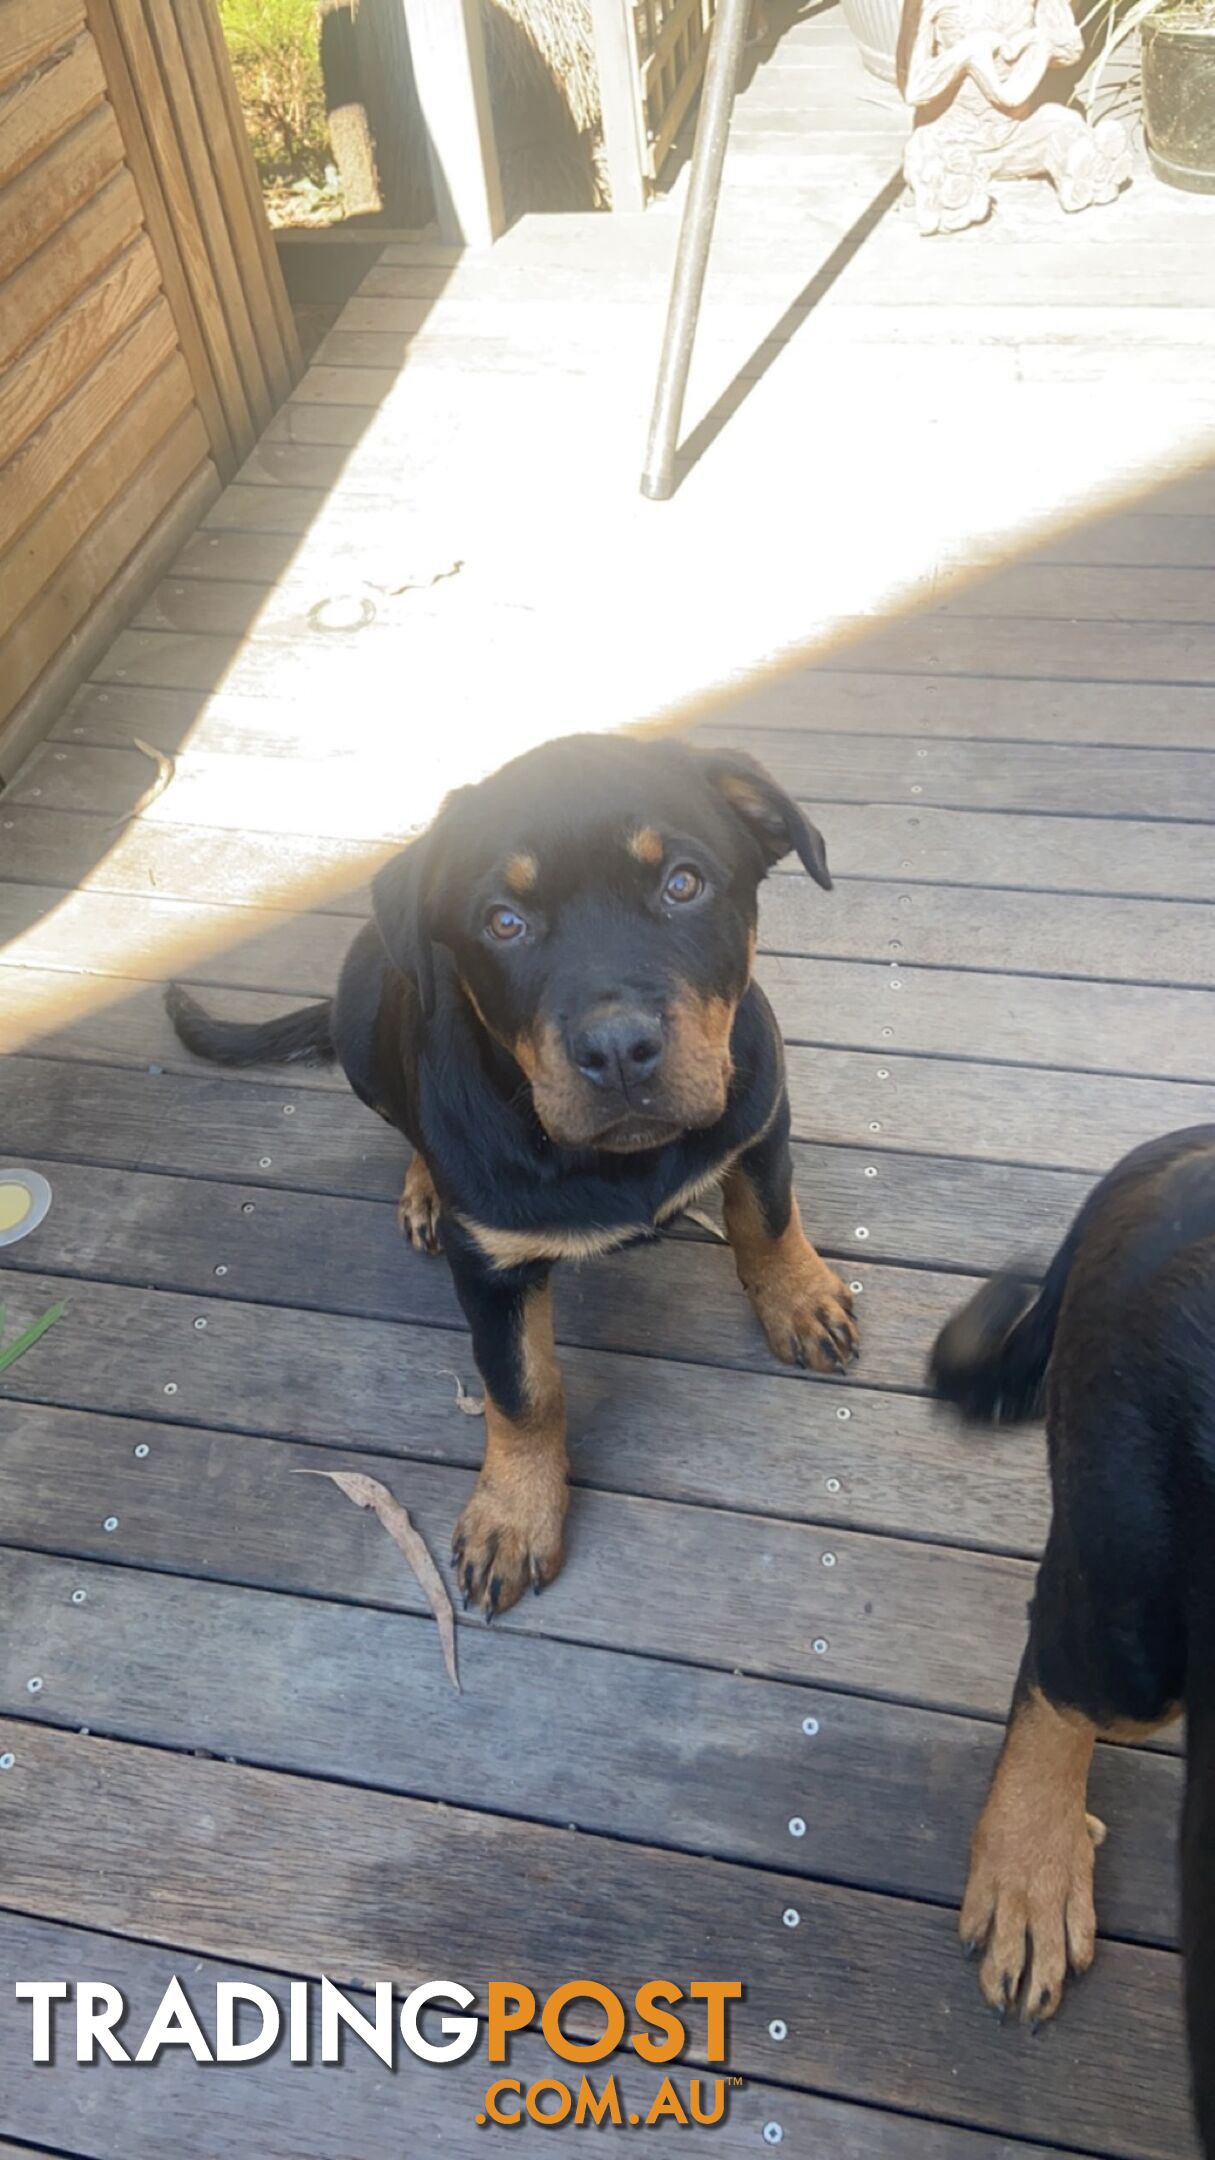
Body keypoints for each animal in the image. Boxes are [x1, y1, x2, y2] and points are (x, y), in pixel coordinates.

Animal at [165, 734, 856, 1615]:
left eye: (682, 884)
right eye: (504, 922)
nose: (616, 1049)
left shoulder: (760, 1112)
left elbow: (767, 1217)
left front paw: (799, 1299)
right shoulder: (490, 1270)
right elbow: (522, 1390)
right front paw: (514, 1516)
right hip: (361, 1019)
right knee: (407, 1121)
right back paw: (425, 1189)